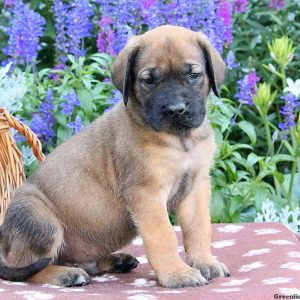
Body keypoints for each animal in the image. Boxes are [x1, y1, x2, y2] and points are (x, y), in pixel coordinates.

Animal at [0, 25, 230, 288]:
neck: (179, 139)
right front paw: (177, 273)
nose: (175, 110)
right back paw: (66, 274)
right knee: (29, 268)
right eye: (149, 80)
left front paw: (205, 262)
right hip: (38, 216)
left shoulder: (196, 187)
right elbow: (164, 236)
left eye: (193, 75)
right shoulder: (146, 192)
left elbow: (199, 229)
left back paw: (115, 261)